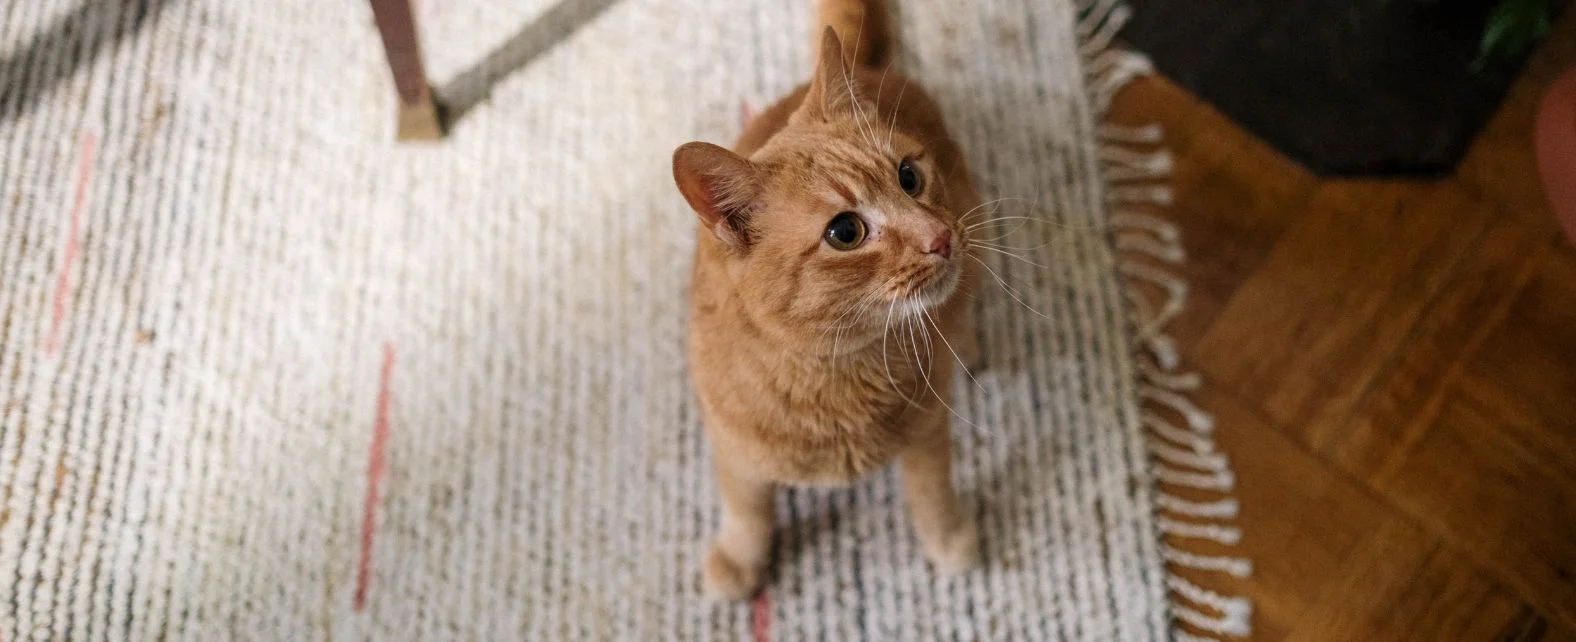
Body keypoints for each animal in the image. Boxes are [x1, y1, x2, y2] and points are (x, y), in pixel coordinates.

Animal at [671, 0, 977, 602]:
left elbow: (931, 493)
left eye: (909, 177)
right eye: (845, 232)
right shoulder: (735, 452)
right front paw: (740, 559)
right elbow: (746, 512)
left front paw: (949, 540)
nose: (939, 237)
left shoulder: (929, 432)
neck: (836, 372)